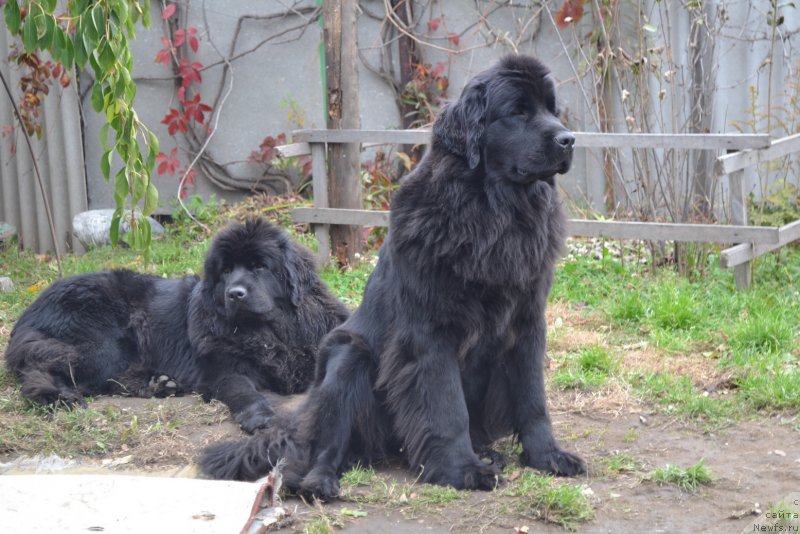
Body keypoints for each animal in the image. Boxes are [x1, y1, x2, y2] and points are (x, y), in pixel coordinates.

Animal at [3, 220, 346, 434]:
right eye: (225, 271)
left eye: (259, 267)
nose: (235, 294)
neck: (270, 332)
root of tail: (32, 308)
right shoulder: (224, 368)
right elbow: (242, 389)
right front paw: (258, 415)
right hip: (99, 347)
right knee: (41, 369)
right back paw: (57, 396)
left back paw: (160, 384)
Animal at [200, 54, 588, 498]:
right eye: (518, 112)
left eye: (552, 110)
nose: (569, 140)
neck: (493, 215)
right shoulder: (431, 333)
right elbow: (447, 405)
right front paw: (461, 470)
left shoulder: (527, 322)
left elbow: (533, 398)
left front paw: (548, 456)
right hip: (346, 357)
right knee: (317, 450)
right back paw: (322, 482)